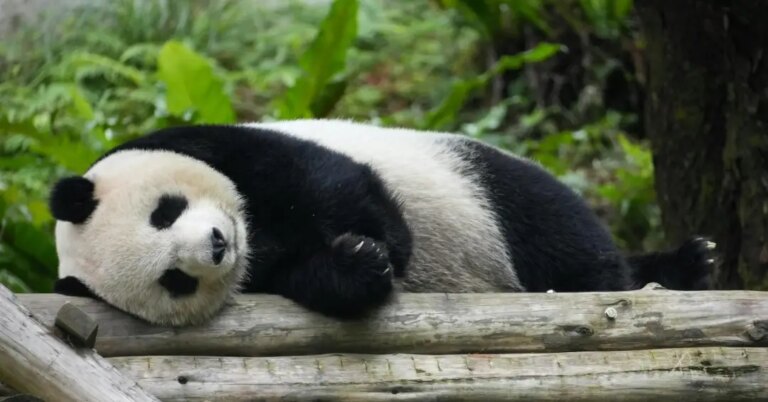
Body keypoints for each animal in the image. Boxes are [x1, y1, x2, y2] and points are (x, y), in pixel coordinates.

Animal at [49, 119, 716, 326]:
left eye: (165, 211)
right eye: (174, 280)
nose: (217, 245)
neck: (255, 235)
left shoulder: (219, 145)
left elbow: (330, 182)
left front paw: (382, 243)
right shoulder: (262, 275)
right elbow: (309, 278)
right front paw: (359, 264)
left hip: (473, 183)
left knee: (556, 233)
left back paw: (675, 266)